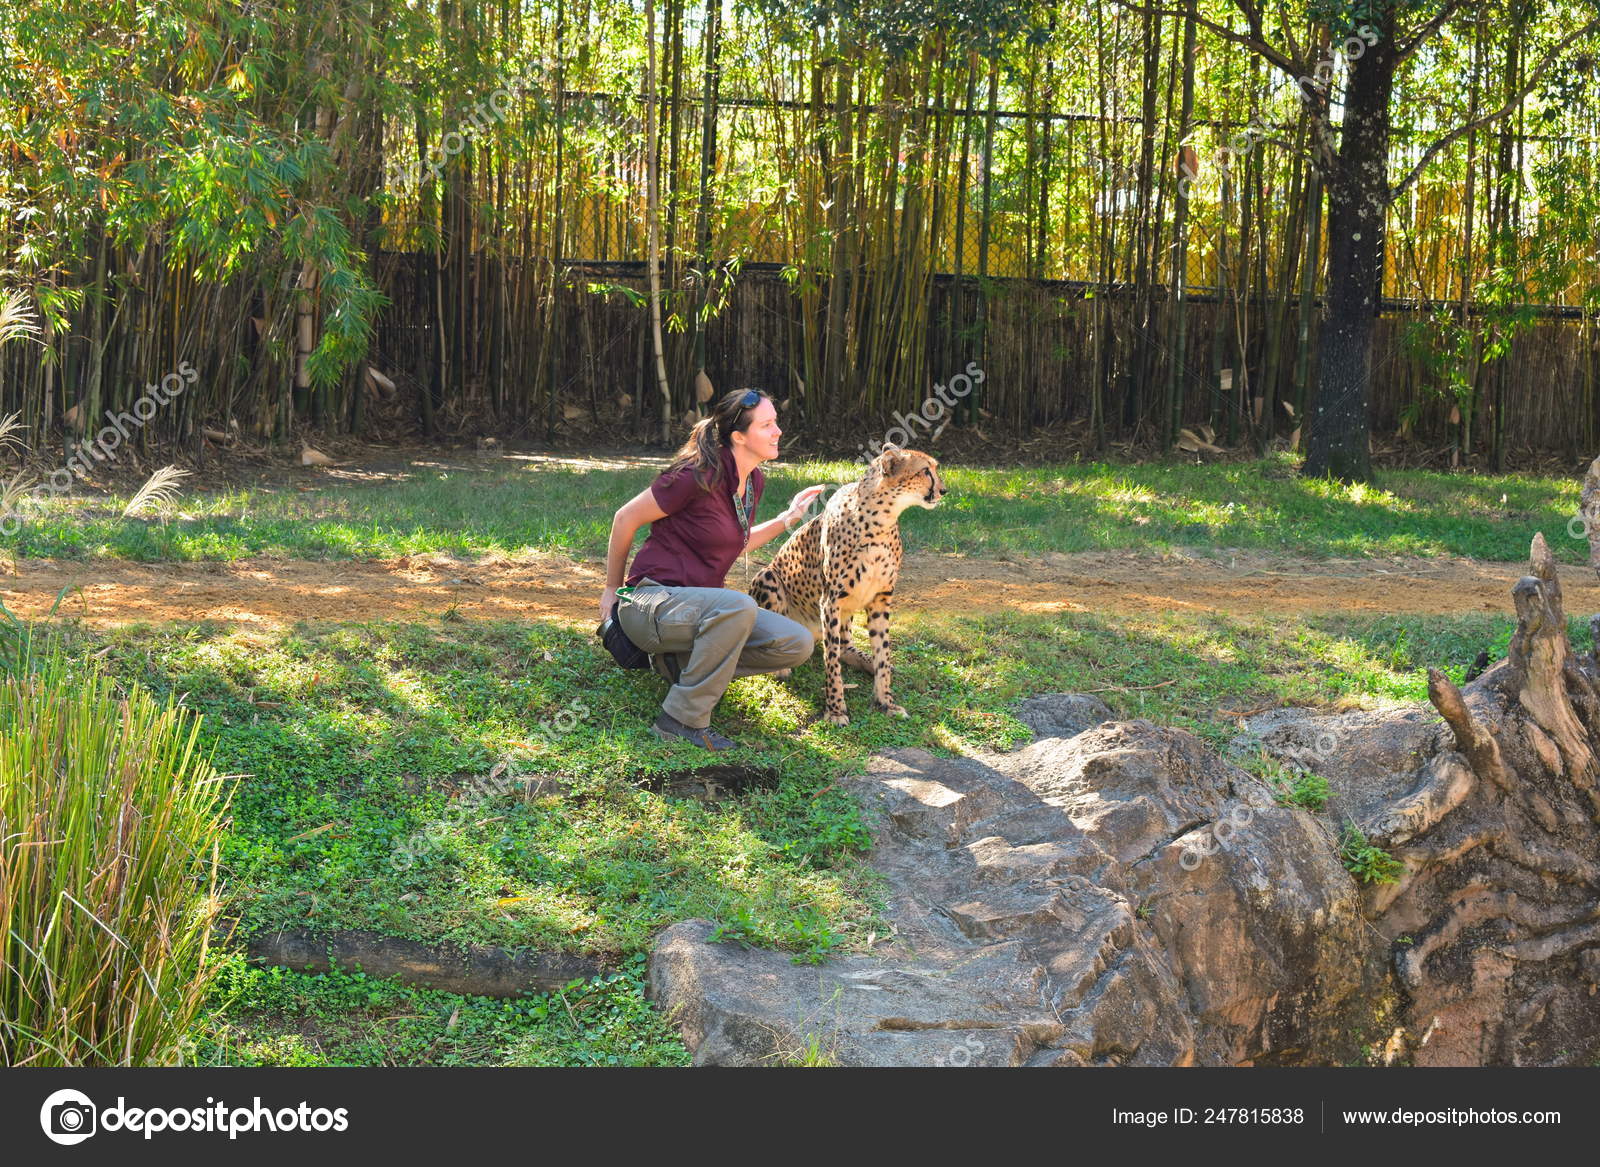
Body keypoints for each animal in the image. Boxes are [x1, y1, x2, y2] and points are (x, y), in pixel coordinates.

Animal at [752, 445, 947, 720]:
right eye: (925, 471)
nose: (944, 490)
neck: (882, 520)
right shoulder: (830, 600)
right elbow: (831, 659)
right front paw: (835, 709)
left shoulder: (880, 598)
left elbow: (883, 651)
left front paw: (886, 701)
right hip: (768, 576)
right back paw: (780, 668)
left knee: (847, 647)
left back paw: (868, 662)